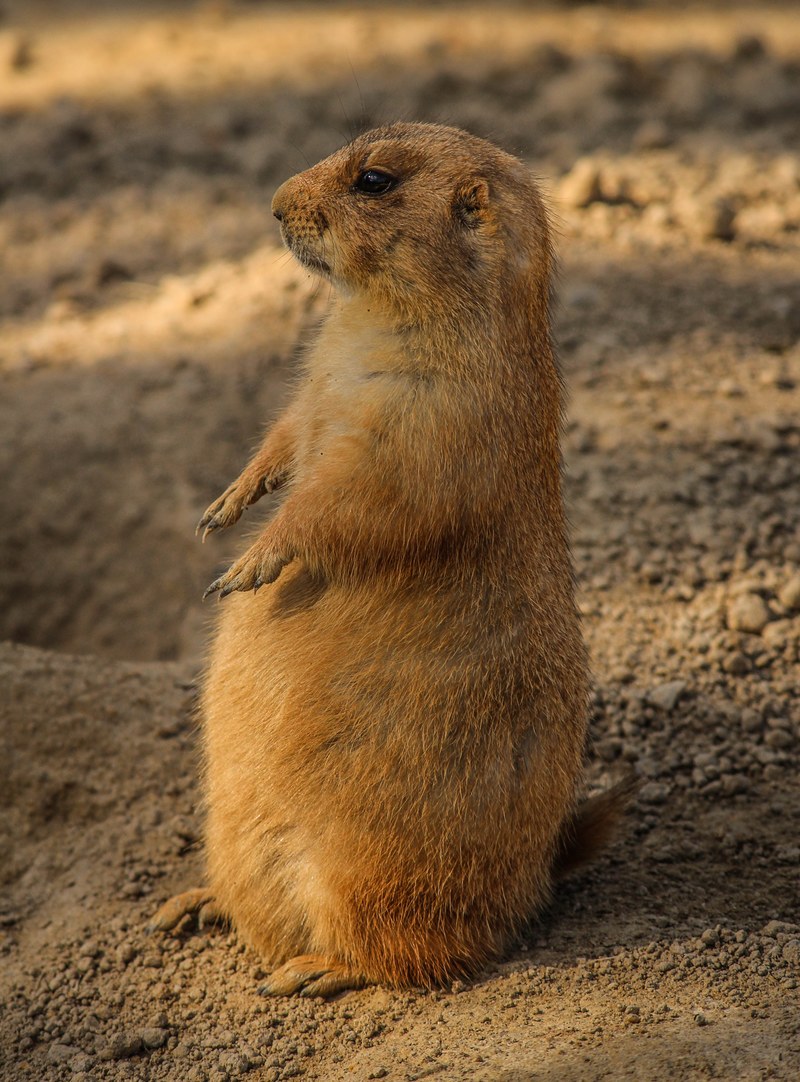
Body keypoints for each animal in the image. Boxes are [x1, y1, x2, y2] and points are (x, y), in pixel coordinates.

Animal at [150, 122, 630, 997]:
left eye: (374, 180)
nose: (275, 205)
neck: (373, 312)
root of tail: (537, 879)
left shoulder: (427, 418)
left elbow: (351, 498)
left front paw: (249, 566)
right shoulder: (311, 392)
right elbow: (283, 439)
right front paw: (224, 509)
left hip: (375, 873)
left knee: (411, 956)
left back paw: (310, 971)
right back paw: (195, 905)